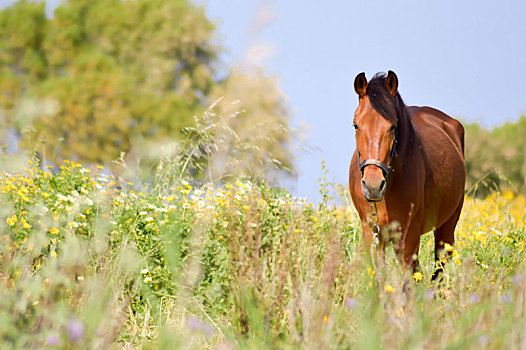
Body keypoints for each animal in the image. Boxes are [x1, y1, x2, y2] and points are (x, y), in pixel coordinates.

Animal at [350, 70, 466, 276]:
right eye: (356, 125)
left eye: (392, 126)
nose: (373, 186)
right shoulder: (372, 233)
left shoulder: (408, 236)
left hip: (447, 227)